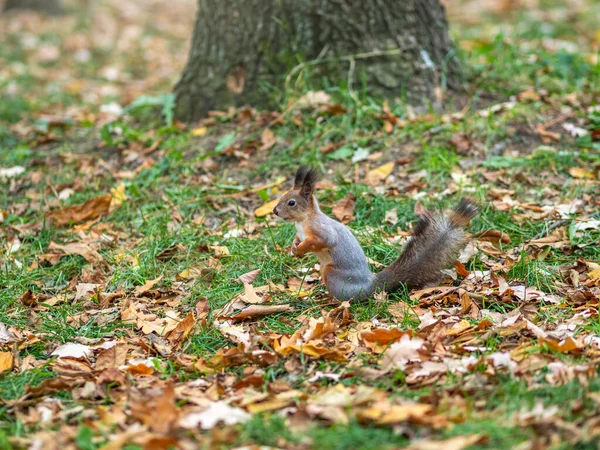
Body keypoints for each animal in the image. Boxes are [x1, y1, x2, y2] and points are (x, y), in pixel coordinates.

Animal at [274, 166, 480, 302]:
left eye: (291, 202)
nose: (275, 211)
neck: (302, 221)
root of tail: (371, 285)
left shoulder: (322, 230)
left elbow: (322, 241)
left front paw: (301, 249)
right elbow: (297, 239)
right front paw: (294, 247)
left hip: (332, 274)